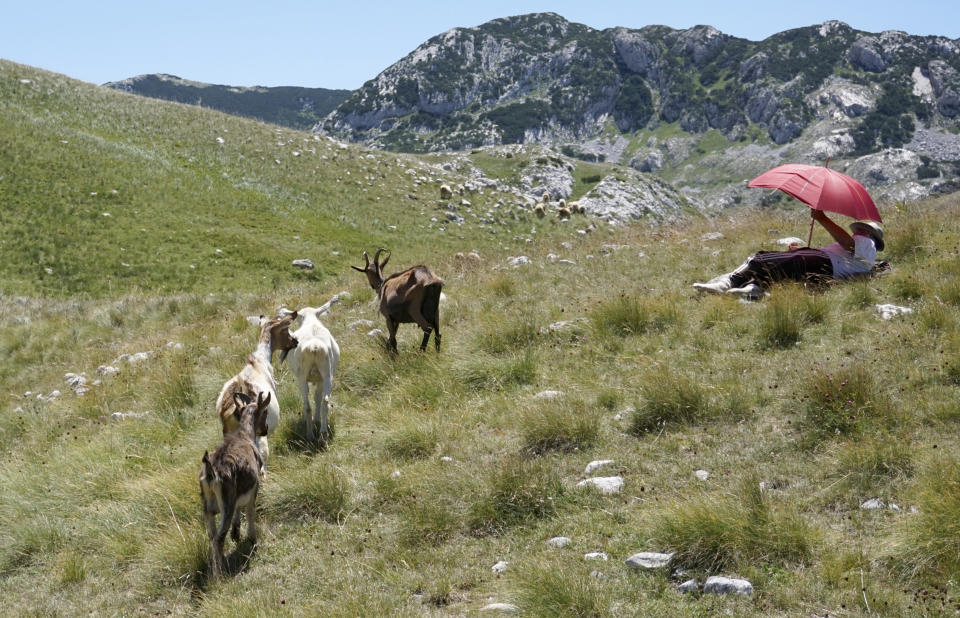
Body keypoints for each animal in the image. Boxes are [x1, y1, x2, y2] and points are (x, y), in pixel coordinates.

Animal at [200, 392, 272, 576]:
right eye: (265, 412)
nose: (265, 429)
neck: (244, 435)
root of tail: (211, 474)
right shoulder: (254, 487)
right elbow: (251, 511)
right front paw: (252, 538)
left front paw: (236, 532)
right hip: (226, 503)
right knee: (219, 538)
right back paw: (219, 575)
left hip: (207, 506)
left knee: (211, 536)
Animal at [282, 298, 342, 438]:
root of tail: (314, 346)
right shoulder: (320, 379)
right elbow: (318, 398)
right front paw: (317, 420)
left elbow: (316, 398)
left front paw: (316, 420)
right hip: (327, 375)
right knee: (325, 401)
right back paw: (323, 435)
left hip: (302, 377)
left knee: (307, 406)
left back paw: (309, 435)